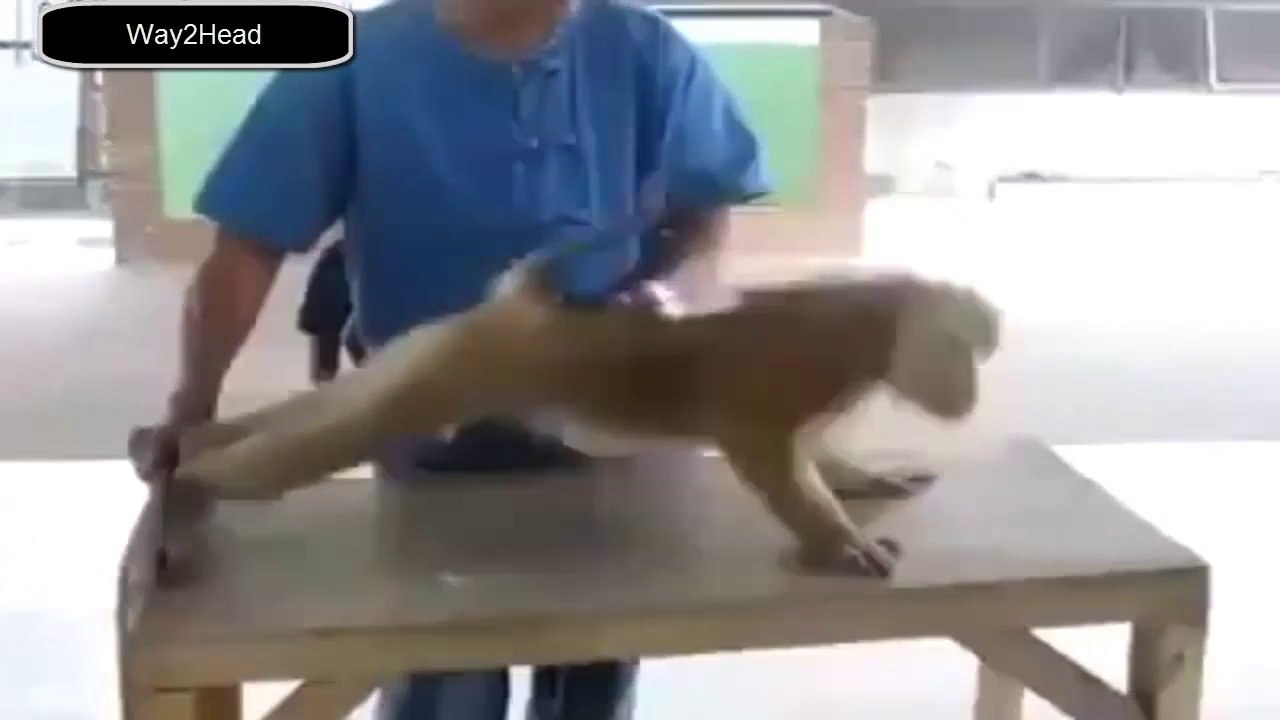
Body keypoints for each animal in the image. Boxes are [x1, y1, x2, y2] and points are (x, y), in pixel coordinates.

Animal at [170, 254, 1000, 578]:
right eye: (961, 351)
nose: (969, 392)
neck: (871, 322)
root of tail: (521, 308)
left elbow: (812, 450)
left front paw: (862, 481)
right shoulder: (797, 368)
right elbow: (765, 450)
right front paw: (837, 541)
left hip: (453, 345)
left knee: (362, 398)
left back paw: (207, 441)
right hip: (486, 360)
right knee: (362, 424)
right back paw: (220, 471)